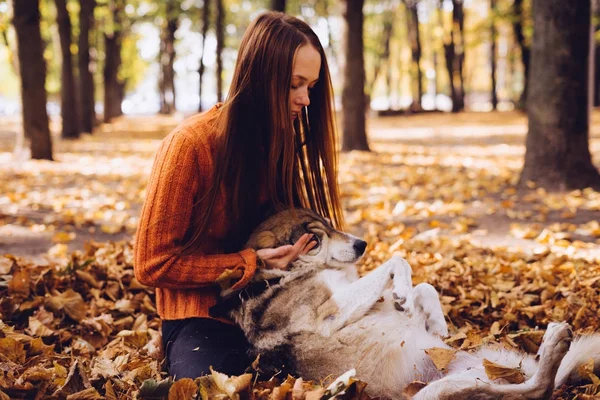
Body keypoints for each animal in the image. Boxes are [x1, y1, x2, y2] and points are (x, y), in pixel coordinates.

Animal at [216, 209, 600, 400]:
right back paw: (555, 343)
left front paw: (436, 323)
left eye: (331, 226)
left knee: (536, 386)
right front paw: (404, 289)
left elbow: (422, 287)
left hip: (479, 373)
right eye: (315, 239)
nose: (362, 244)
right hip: (435, 395)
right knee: (538, 390)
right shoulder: (327, 313)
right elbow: (397, 260)